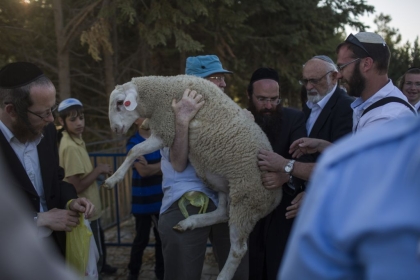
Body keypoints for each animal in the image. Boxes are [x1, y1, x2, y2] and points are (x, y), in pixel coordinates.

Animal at [103, 75, 284, 280]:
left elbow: (134, 151)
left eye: (120, 103)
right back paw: (189, 223)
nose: (115, 128)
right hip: (224, 186)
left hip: (246, 200)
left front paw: (113, 180)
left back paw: (223, 275)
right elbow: (136, 148)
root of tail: (276, 197)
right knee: (222, 213)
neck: (160, 93)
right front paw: (145, 124)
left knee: (239, 249)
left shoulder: (167, 128)